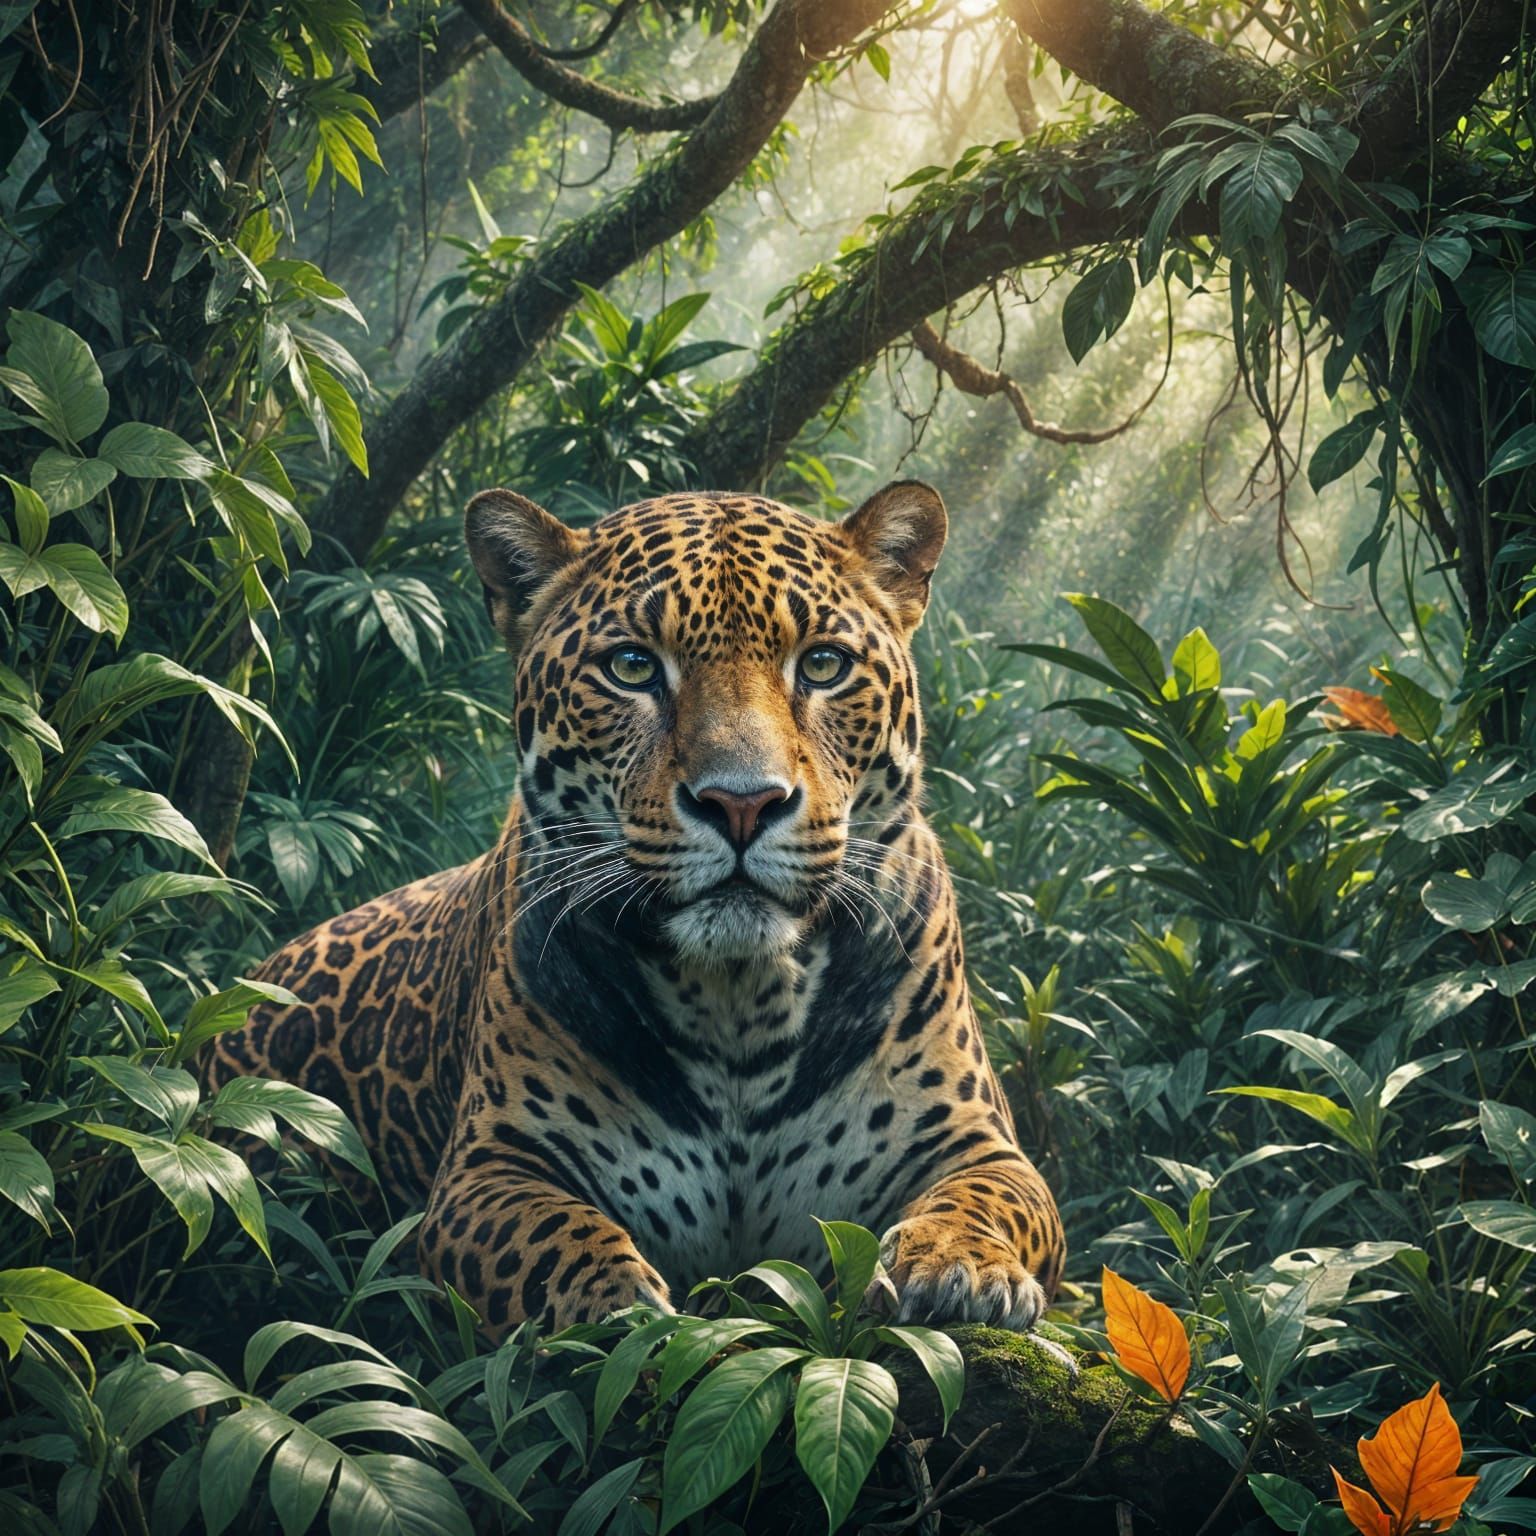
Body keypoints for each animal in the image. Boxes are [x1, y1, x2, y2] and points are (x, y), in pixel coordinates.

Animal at [203, 480, 1066, 1337]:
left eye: (823, 664)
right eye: (631, 666)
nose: (742, 803)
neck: (740, 1006)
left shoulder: (979, 1141)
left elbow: (991, 1201)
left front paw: (961, 1268)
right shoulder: (487, 1167)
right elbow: (545, 1236)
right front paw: (613, 1302)